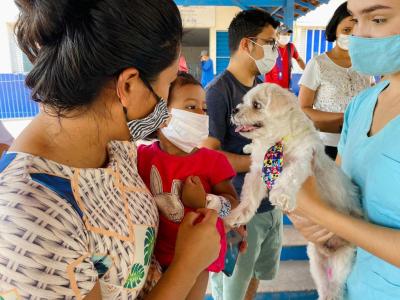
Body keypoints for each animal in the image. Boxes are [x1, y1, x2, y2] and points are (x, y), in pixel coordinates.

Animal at [227, 83, 364, 300]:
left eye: (256, 105)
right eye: (243, 101)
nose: (234, 110)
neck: (277, 141)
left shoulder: (302, 160)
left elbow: (289, 176)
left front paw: (281, 195)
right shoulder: (258, 172)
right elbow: (249, 198)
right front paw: (239, 214)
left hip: (342, 261)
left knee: (335, 287)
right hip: (316, 261)